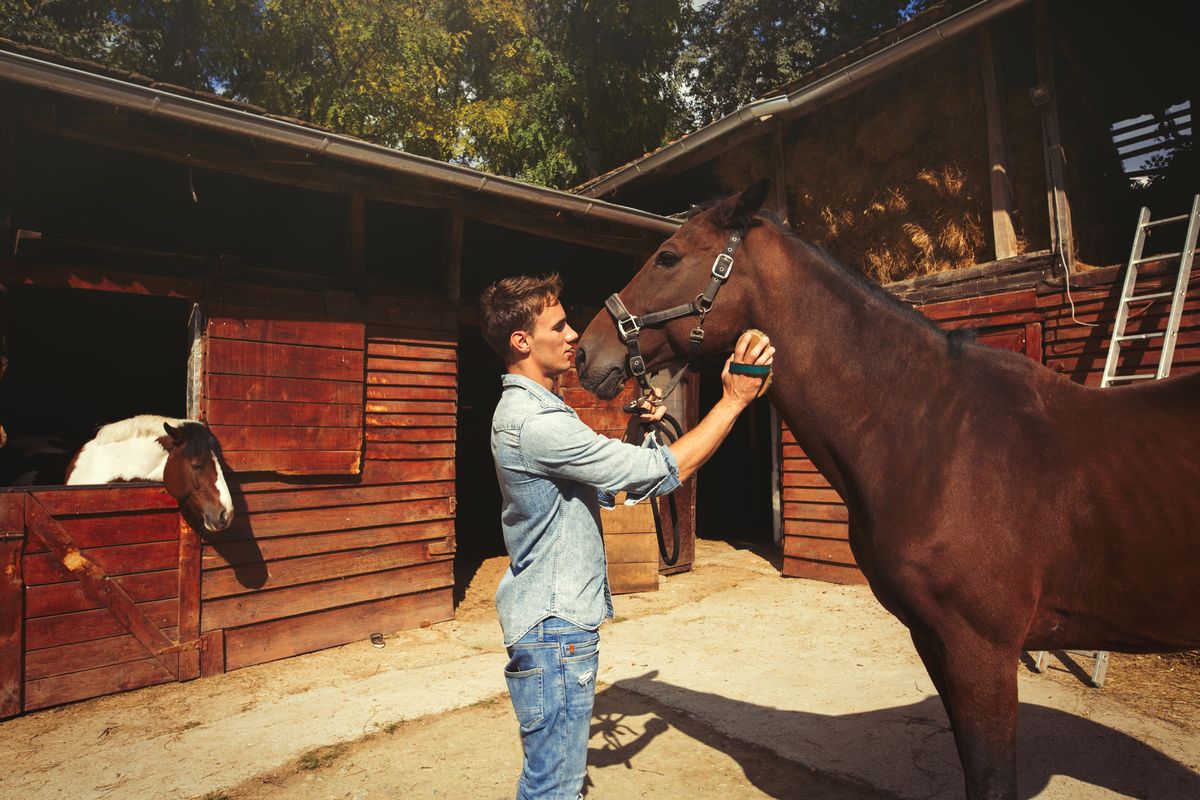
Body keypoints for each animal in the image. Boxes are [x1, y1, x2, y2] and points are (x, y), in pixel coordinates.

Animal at [574, 178, 1200, 800]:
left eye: (667, 256)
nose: (584, 352)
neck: (938, 436)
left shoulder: (983, 651)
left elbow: (991, 776)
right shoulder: (935, 639)